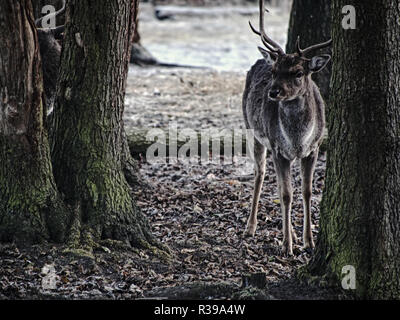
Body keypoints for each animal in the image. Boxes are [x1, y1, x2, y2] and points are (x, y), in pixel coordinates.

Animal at [244, 0, 332, 255]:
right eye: (275, 72)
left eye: (298, 72)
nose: (273, 92)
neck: (297, 138)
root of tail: (263, 58)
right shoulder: (278, 149)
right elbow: (285, 195)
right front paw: (286, 246)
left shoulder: (313, 149)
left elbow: (306, 191)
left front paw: (309, 242)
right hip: (253, 132)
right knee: (260, 173)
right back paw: (250, 227)